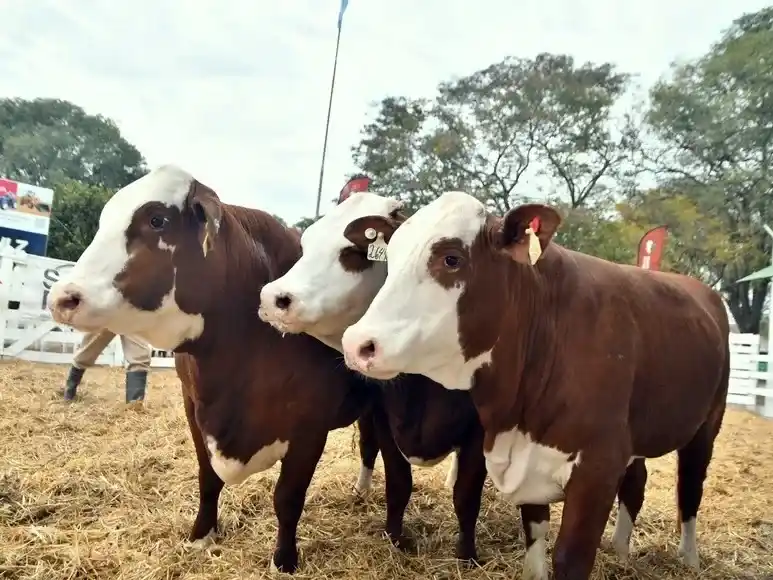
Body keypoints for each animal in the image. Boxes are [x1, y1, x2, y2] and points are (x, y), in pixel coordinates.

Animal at [45, 165, 415, 573]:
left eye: (157, 220)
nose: (63, 297)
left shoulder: (310, 426)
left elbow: (288, 497)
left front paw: (284, 560)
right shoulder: (193, 406)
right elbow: (208, 478)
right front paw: (201, 535)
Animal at [257, 192, 490, 563]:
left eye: (352, 253)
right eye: (305, 246)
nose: (273, 298)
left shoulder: (480, 429)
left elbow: (467, 495)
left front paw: (466, 555)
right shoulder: (384, 416)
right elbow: (398, 481)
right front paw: (394, 536)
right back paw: (361, 489)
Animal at [338, 190, 730, 580]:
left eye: (452, 258)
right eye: (391, 257)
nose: (357, 343)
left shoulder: (597, 467)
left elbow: (569, 557)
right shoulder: (528, 460)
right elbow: (535, 536)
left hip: (706, 427)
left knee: (690, 488)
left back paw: (689, 559)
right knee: (637, 482)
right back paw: (619, 550)